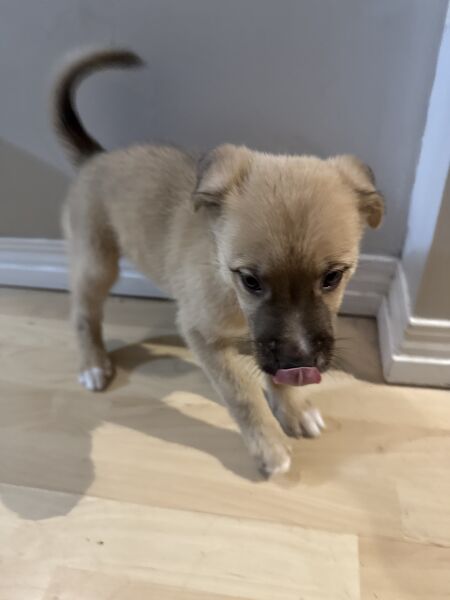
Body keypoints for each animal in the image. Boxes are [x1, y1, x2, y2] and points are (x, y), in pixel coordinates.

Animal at [53, 48, 384, 476]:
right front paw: (268, 445)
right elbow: (243, 395)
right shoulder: (204, 337)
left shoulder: (265, 343)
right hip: (96, 261)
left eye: (332, 277)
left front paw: (293, 410)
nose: (300, 360)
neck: (228, 288)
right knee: (83, 312)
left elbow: (274, 373)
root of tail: (96, 158)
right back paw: (93, 363)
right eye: (250, 280)